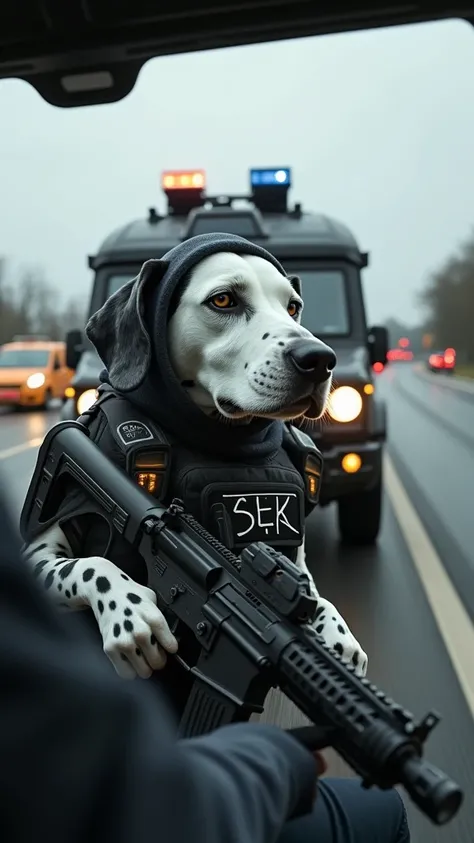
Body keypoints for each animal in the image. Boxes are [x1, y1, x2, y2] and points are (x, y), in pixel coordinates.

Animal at [22, 249, 368, 680]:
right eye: (223, 300)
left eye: (293, 307)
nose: (319, 359)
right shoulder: (37, 551)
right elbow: (92, 566)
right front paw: (128, 611)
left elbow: (316, 596)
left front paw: (338, 637)